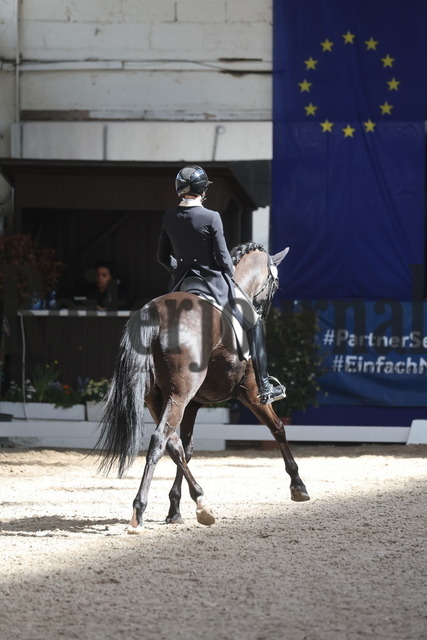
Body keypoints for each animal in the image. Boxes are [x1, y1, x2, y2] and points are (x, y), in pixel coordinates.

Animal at [97, 242, 310, 532]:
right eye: (275, 284)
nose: (262, 312)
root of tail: (154, 313)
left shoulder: (194, 404)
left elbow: (185, 448)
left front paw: (175, 508)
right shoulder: (251, 393)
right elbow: (278, 428)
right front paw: (298, 485)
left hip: (158, 398)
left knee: (171, 442)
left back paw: (200, 503)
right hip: (180, 394)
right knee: (158, 439)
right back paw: (140, 511)